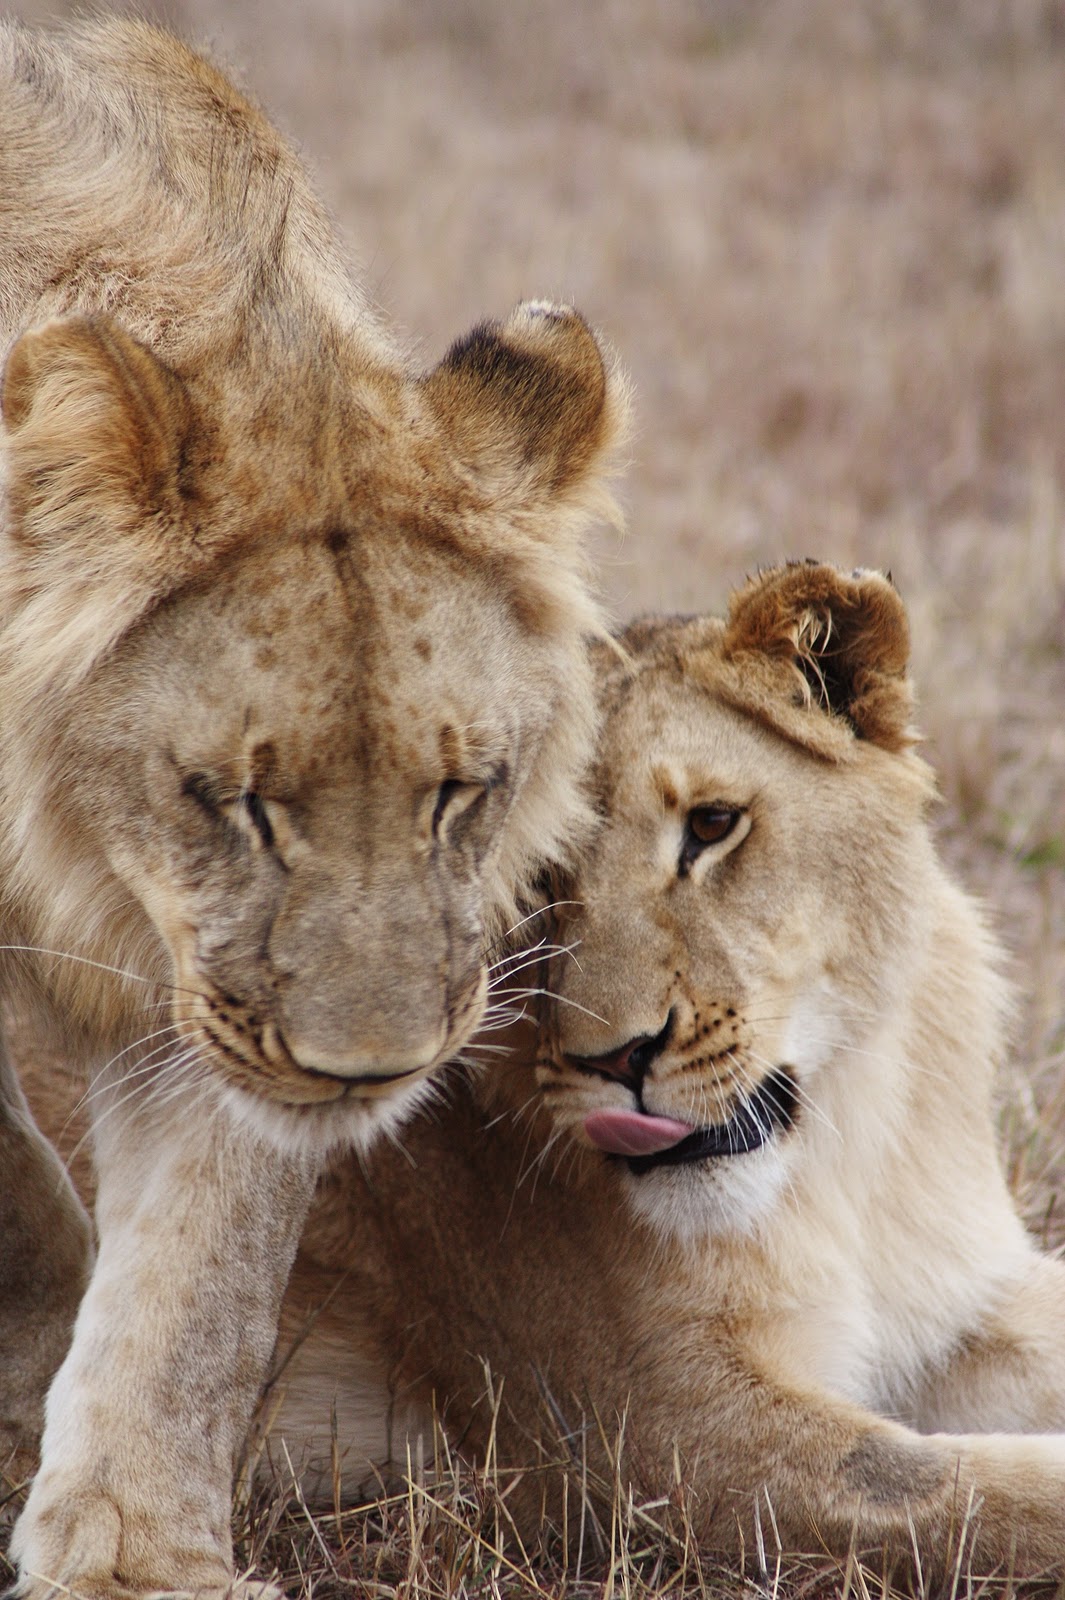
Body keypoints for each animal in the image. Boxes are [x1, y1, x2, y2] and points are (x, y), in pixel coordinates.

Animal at [0, 17, 626, 1600]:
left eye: (459, 792)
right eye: (237, 804)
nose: (368, 1072)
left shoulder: (203, 996)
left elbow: (197, 1285)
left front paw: (134, 1558)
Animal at [241, 563, 1065, 1578]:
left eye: (711, 825)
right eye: (538, 876)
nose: (616, 1056)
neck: (835, 1159)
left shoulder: (955, 1306)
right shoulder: (658, 1442)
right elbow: (963, 1492)